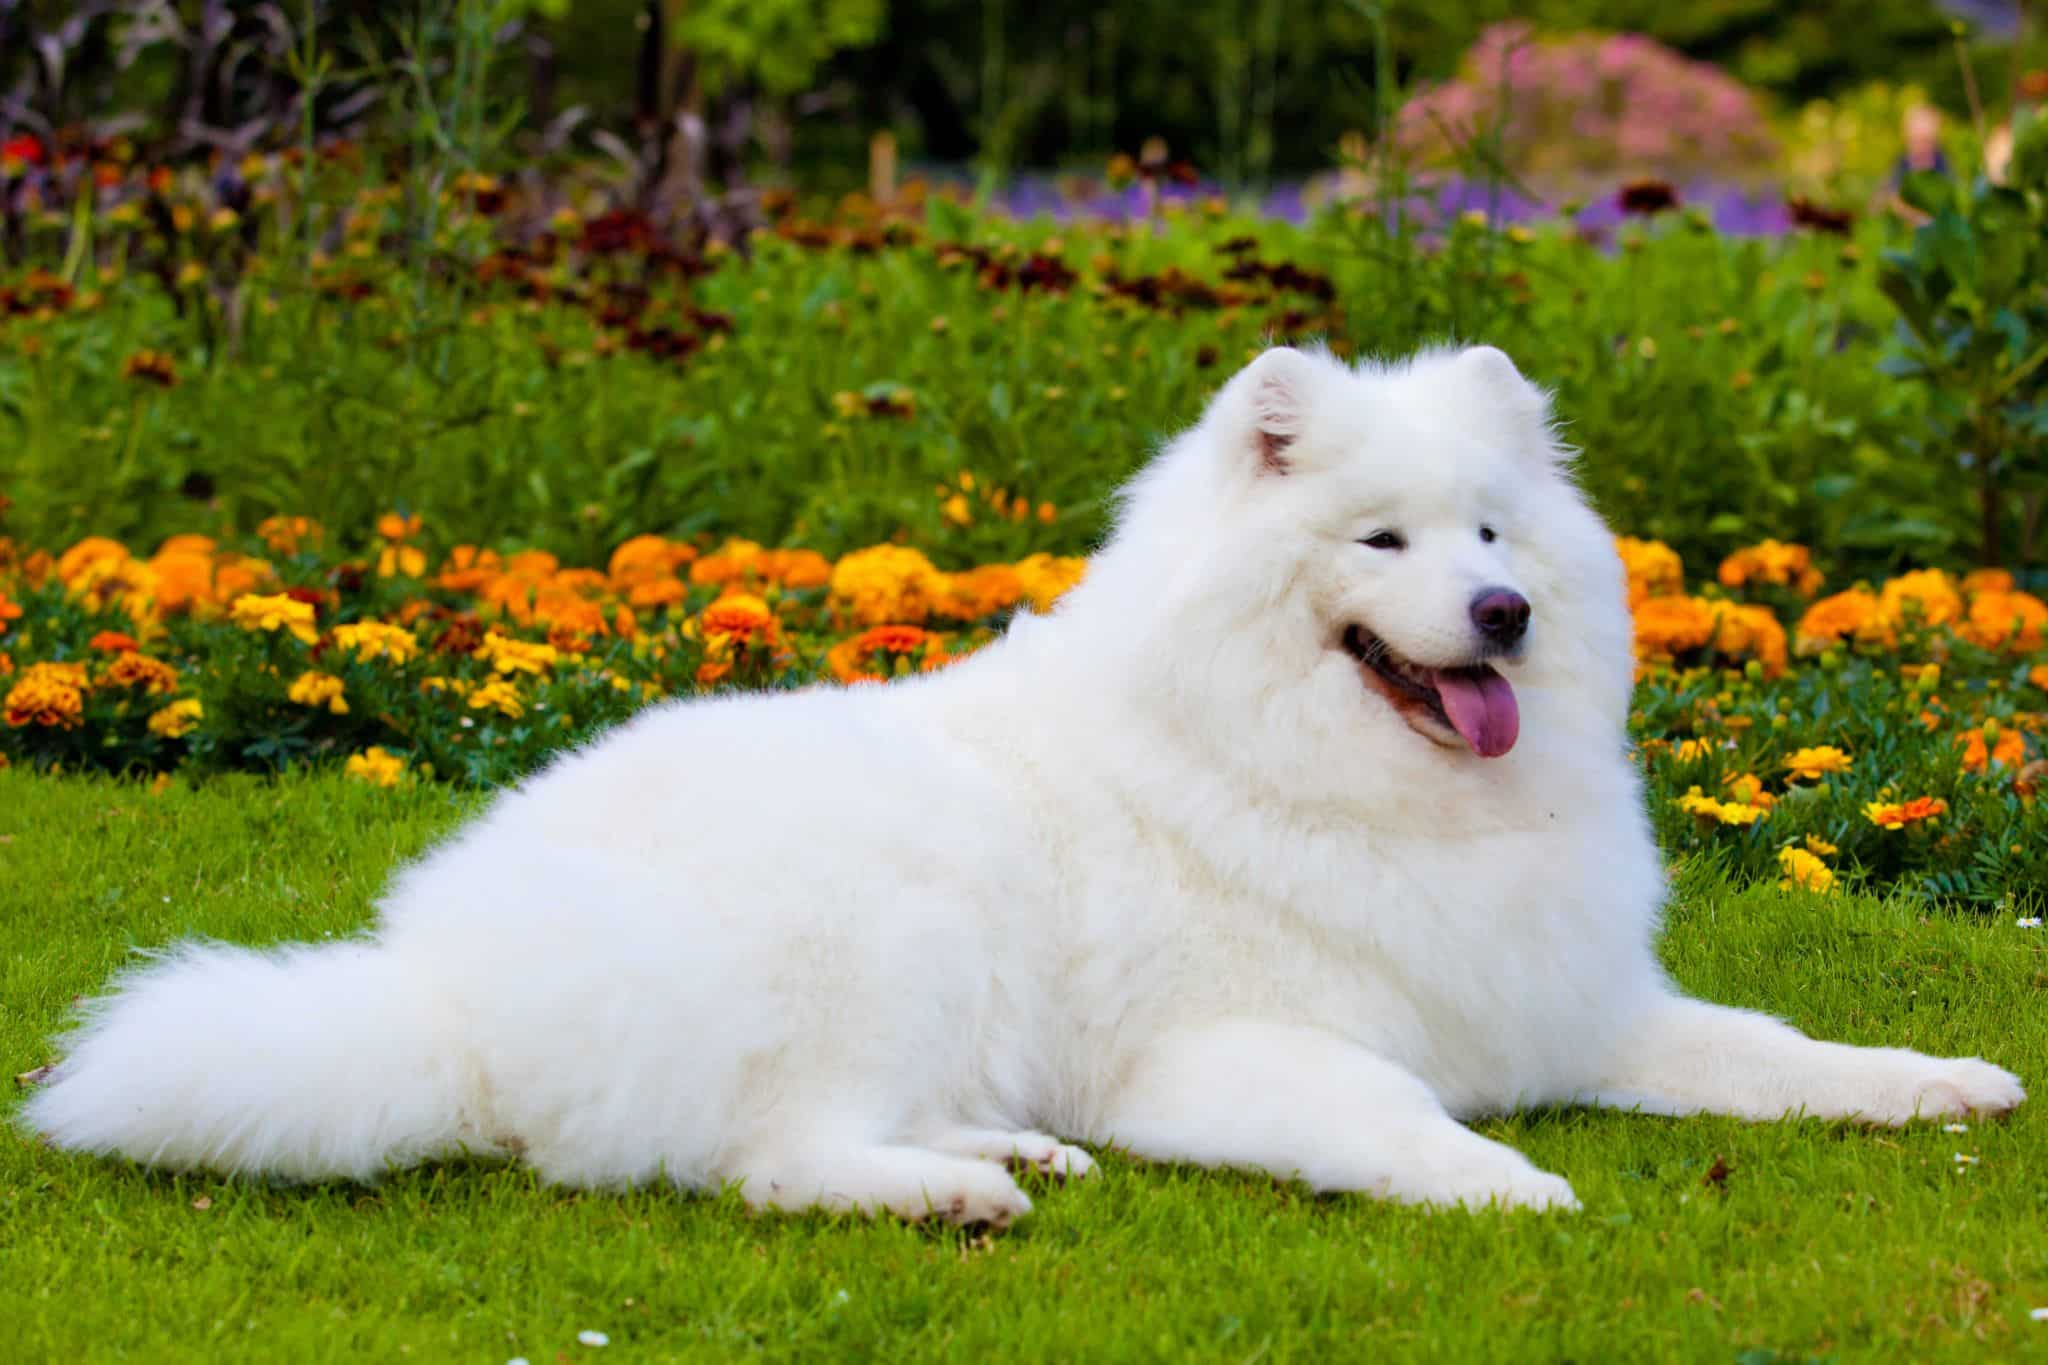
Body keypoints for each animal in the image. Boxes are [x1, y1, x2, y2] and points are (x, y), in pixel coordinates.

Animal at [24, 347, 2023, 1219]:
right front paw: (1502, 1185)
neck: (1325, 777)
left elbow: (1777, 1053)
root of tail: (445, 993)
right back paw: (957, 1194)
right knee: (763, 1158)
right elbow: (1387, 1117)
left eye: (1490, 532)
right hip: (885, 922)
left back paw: (1006, 1146)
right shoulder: (1230, 1051)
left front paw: (1936, 1081)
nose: (1504, 615)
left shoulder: (1573, 1008)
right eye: (1379, 541)